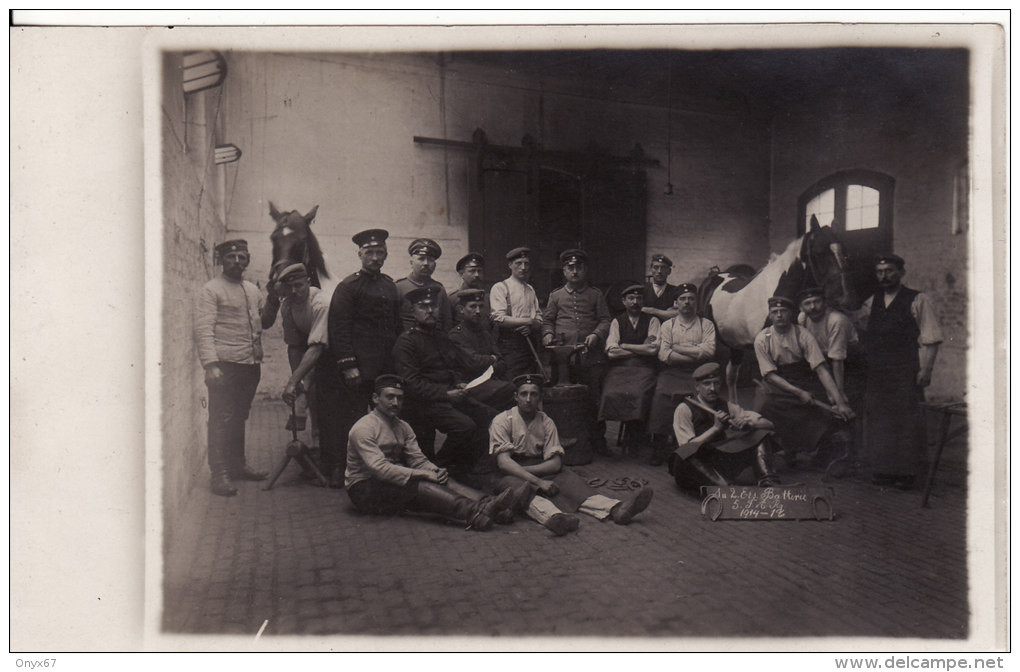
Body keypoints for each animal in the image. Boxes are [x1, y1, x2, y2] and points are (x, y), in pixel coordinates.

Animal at [701, 217, 852, 399]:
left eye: (844, 252)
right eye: (819, 253)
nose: (844, 297)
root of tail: (714, 277)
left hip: (735, 344)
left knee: (731, 375)